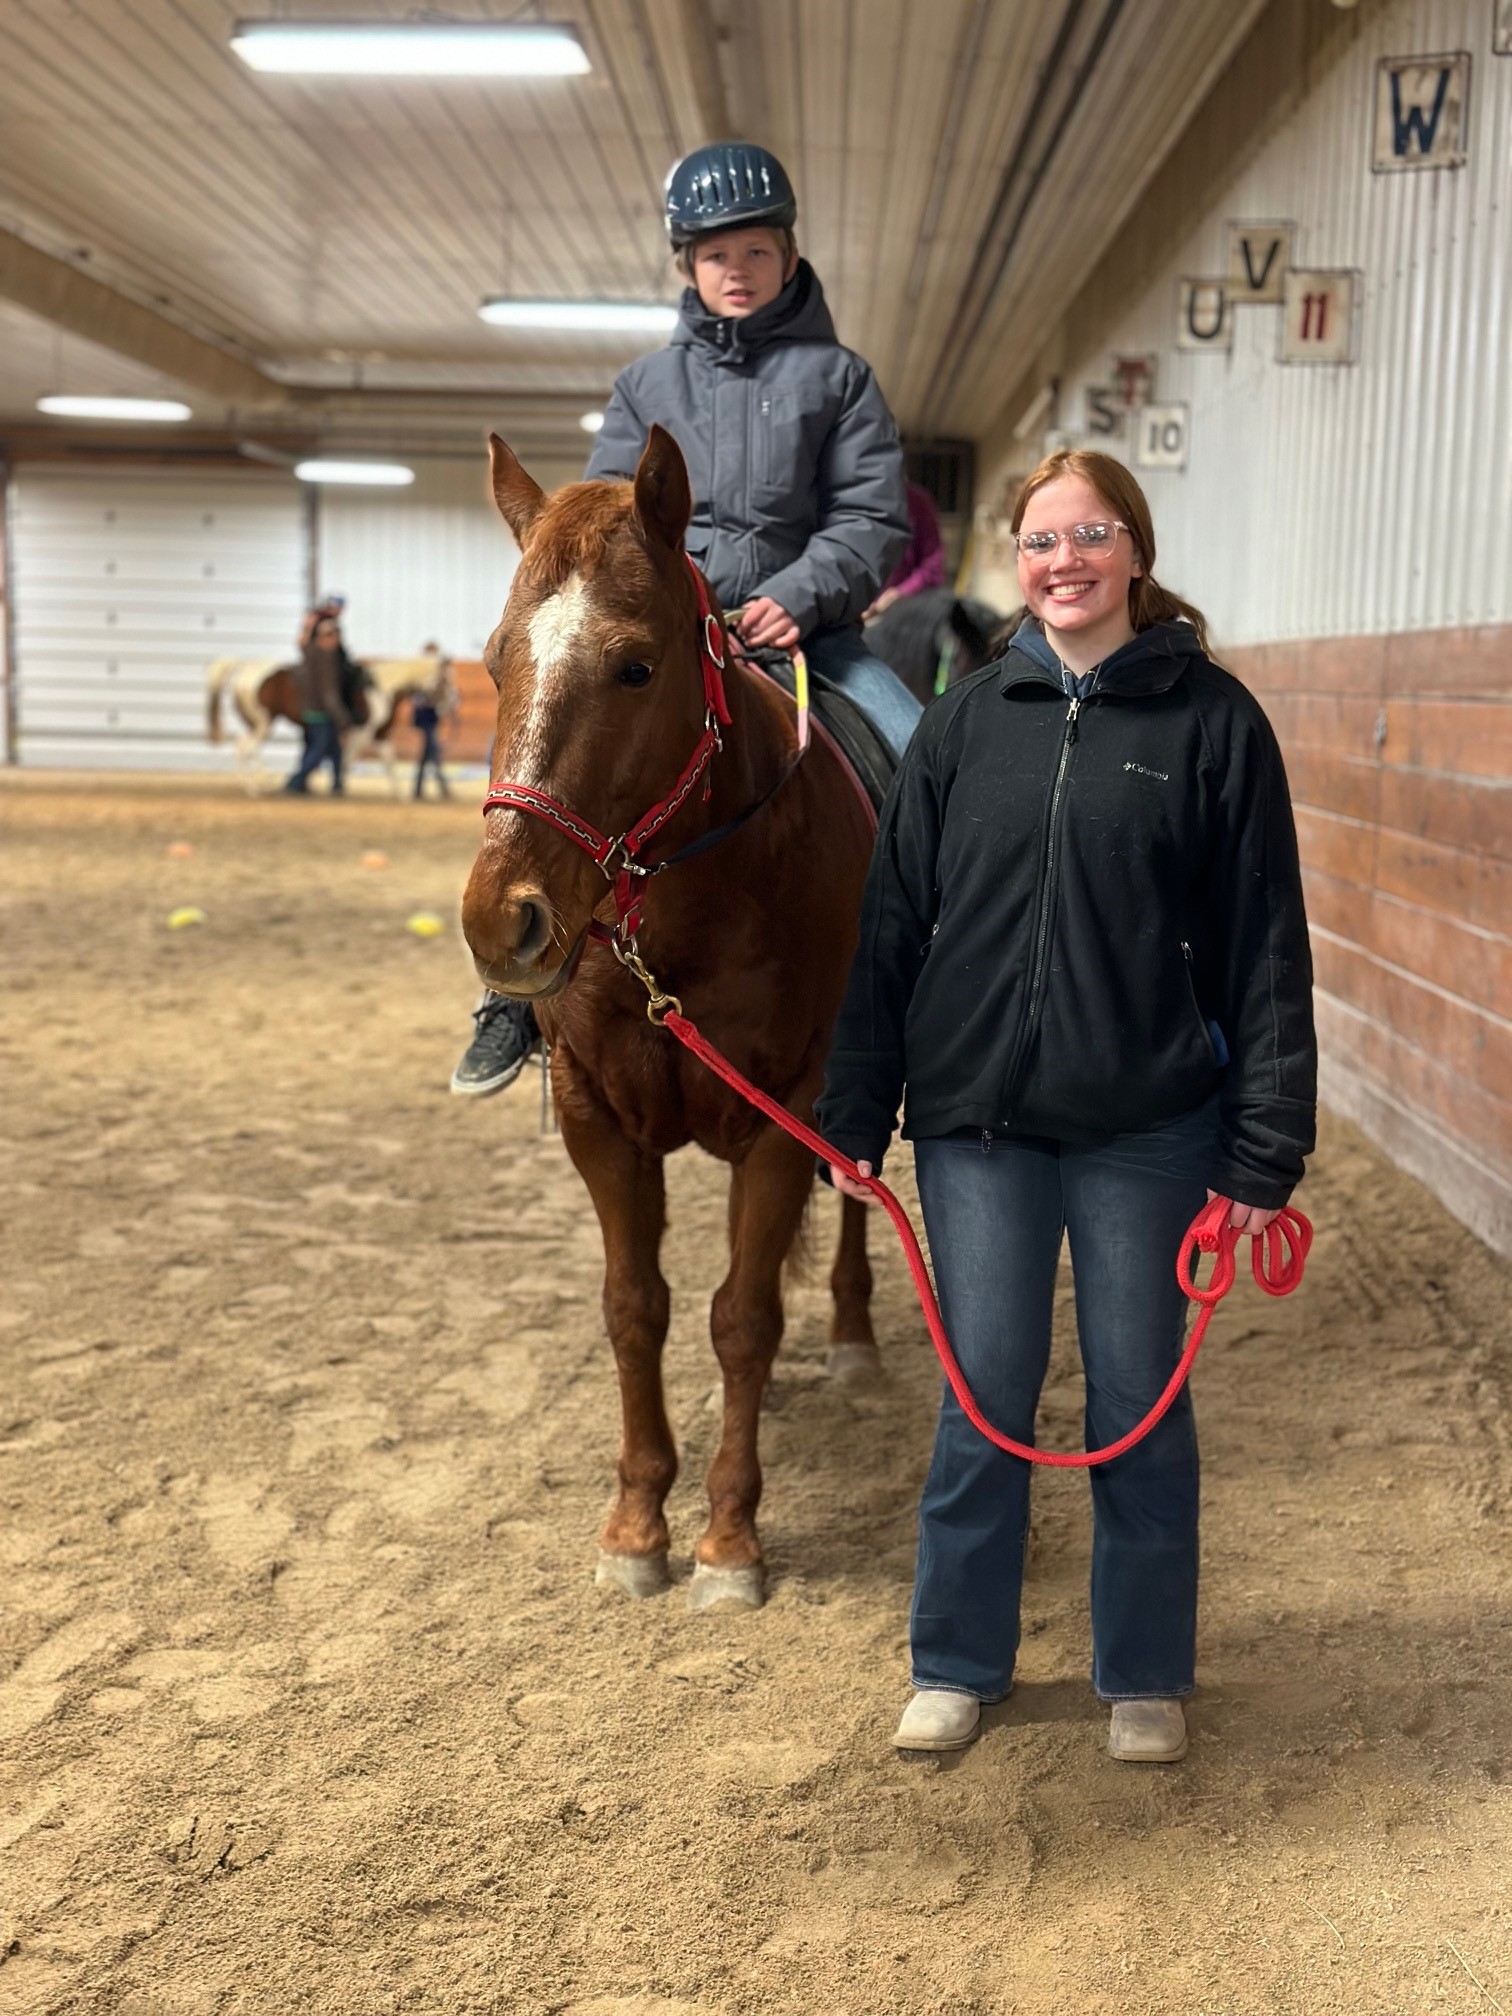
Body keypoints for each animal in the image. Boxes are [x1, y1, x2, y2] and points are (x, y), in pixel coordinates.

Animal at [460, 425, 880, 1611]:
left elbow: (742, 1317)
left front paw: (729, 1539)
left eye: (635, 665)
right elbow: (635, 1306)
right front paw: (638, 1523)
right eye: (496, 661)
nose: (500, 919)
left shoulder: (790, 1110)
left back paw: (853, 1336)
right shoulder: (595, 1115)